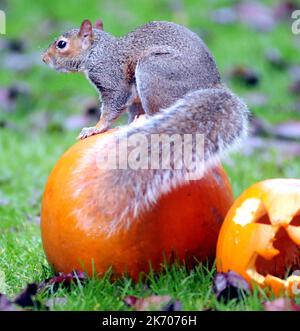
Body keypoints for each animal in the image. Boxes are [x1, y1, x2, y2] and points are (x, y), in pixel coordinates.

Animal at [42, 19, 248, 232]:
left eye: (61, 44)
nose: (43, 58)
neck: (97, 50)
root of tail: (212, 85)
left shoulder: (112, 78)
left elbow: (112, 107)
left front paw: (96, 128)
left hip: (153, 72)